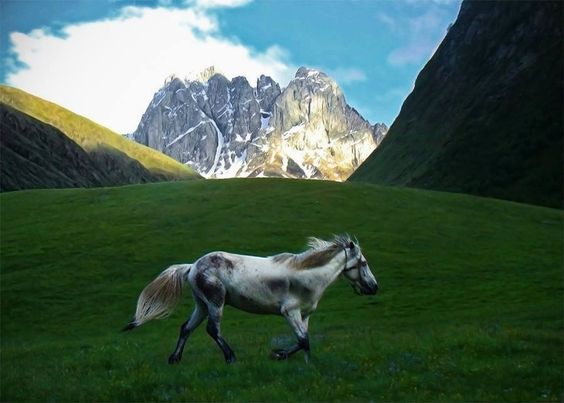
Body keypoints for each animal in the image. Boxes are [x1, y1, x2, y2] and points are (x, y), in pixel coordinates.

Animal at [123, 235, 378, 364]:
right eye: (364, 263)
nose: (374, 287)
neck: (307, 275)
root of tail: (193, 266)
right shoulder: (290, 312)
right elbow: (303, 340)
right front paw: (279, 354)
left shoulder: (304, 315)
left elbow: (305, 342)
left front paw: (304, 363)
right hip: (215, 302)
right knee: (212, 330)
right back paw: (230, 357)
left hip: (201, 304)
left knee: (186, 328)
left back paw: (174, 358)